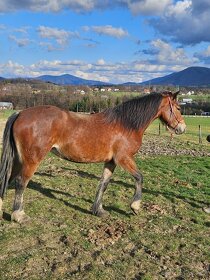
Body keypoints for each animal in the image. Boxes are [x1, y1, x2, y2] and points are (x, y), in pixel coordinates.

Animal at [0, 90, 186, 223]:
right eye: (178, 108)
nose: (182, 128)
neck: (127, 124)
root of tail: (20, 113)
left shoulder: (111, 162)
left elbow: (103, 184)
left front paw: (98, 210)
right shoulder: (124, 159)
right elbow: (139, 177)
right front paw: (135, 206)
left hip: (19, 160)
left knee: (7, 179)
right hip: (32, 160)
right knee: (20, 182)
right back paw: (19, 216)